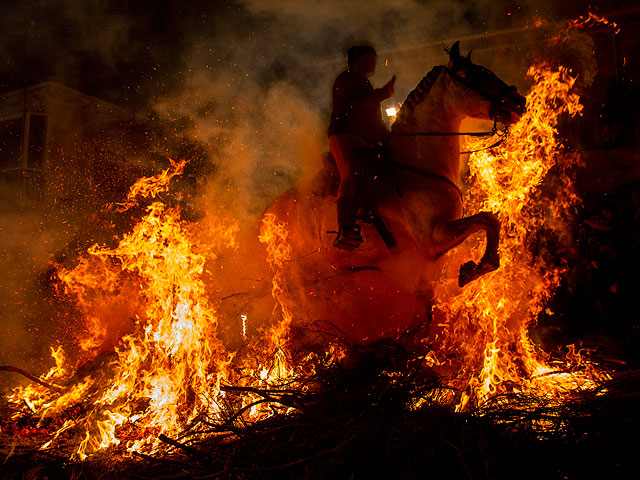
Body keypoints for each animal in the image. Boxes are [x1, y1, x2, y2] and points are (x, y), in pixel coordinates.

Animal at [245, 41, 524, 346]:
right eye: (473, 75)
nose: (518, 101)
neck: (419, 163)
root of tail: (267, 214)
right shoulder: (435, 237)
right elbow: (488, 220)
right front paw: (478, 266)